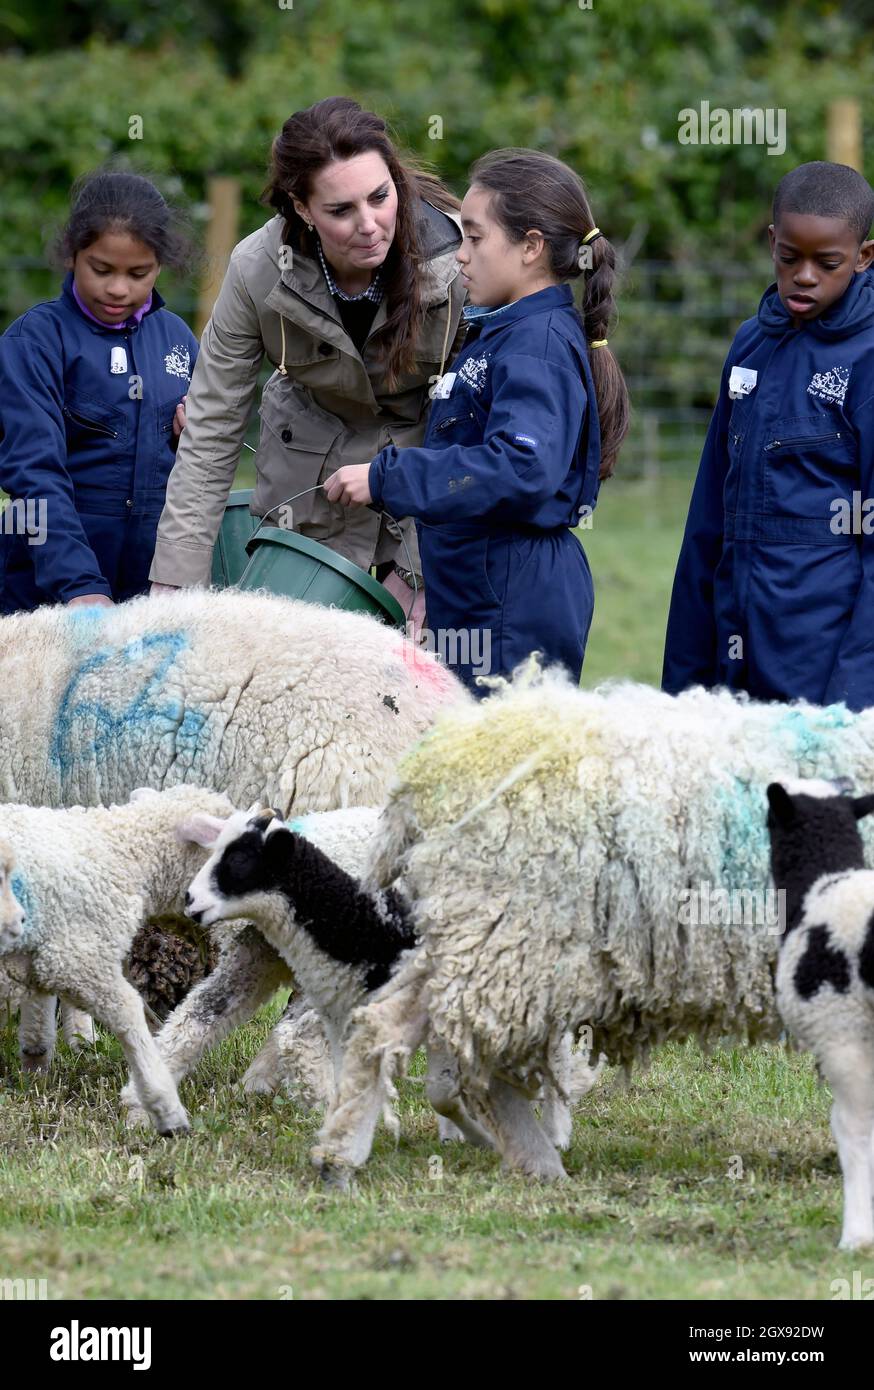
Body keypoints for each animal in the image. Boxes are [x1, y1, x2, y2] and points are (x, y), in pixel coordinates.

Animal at [0, 783, 234, 1128]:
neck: (121, 852)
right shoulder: (80, 959)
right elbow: (129, 1015)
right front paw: (163, 1106)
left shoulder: (45, 955)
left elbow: (38, 1024)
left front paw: (34, 1076)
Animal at [314, 661, 874, 1184]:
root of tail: (435, 766)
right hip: (521, 940)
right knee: (479, 1059)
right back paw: (539, 1162)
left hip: (477, 931)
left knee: (386, 1023)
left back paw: (340, 1156)